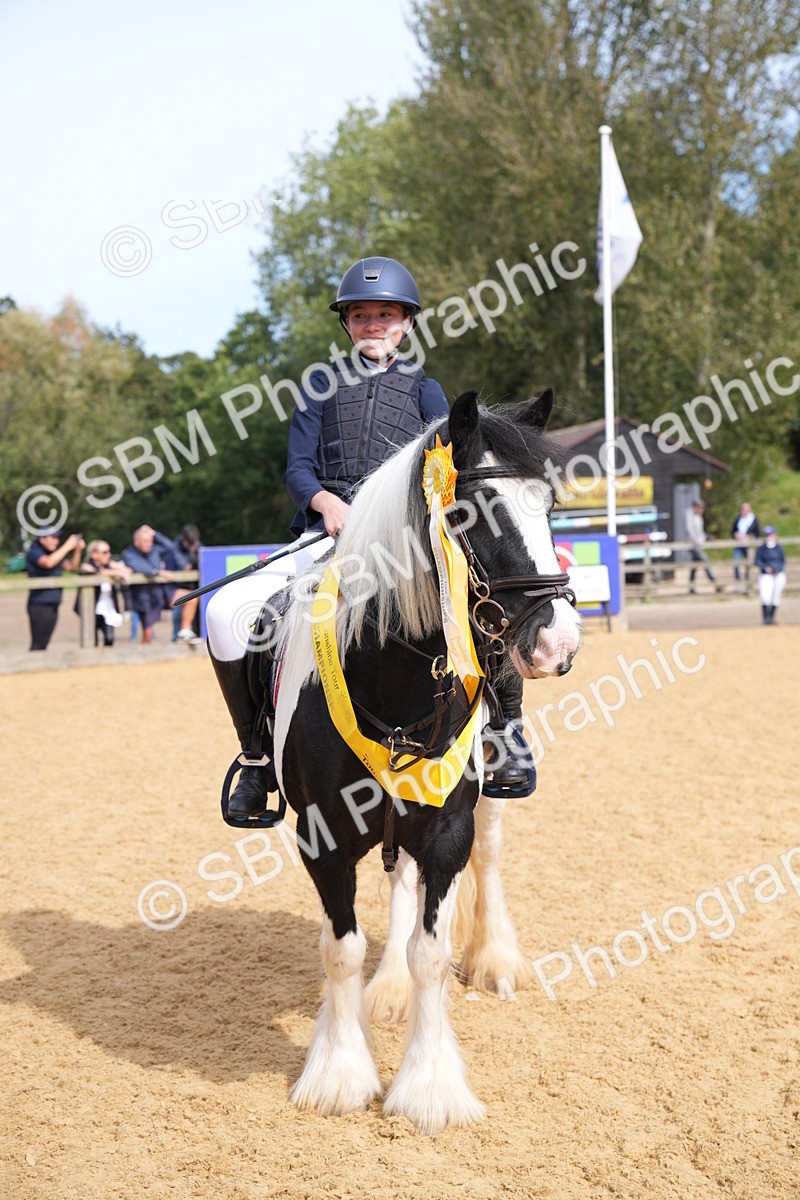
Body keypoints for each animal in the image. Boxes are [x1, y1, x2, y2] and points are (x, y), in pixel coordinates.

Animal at [269, 388, 582, 1133]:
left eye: (548, 503)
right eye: (470, 512)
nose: (559, 642)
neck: (393, 680)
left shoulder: (446, 829)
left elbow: (433, 953)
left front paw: (430, 1087)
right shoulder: (322, 837)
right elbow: (342, 948)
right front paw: (338, 1071)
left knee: (488, 857)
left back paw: (497, 961)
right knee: (398, 888)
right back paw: (386, 990)